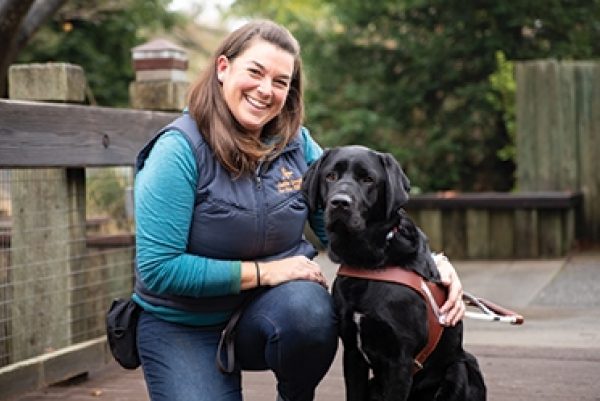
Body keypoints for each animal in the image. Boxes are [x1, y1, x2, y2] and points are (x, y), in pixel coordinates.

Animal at [302, 145, 486, 400]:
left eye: (368, 179)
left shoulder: (399, 359)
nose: (339, 203)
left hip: (462, 365)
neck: (369, 263)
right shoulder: (352, 354)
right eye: (330, 176)